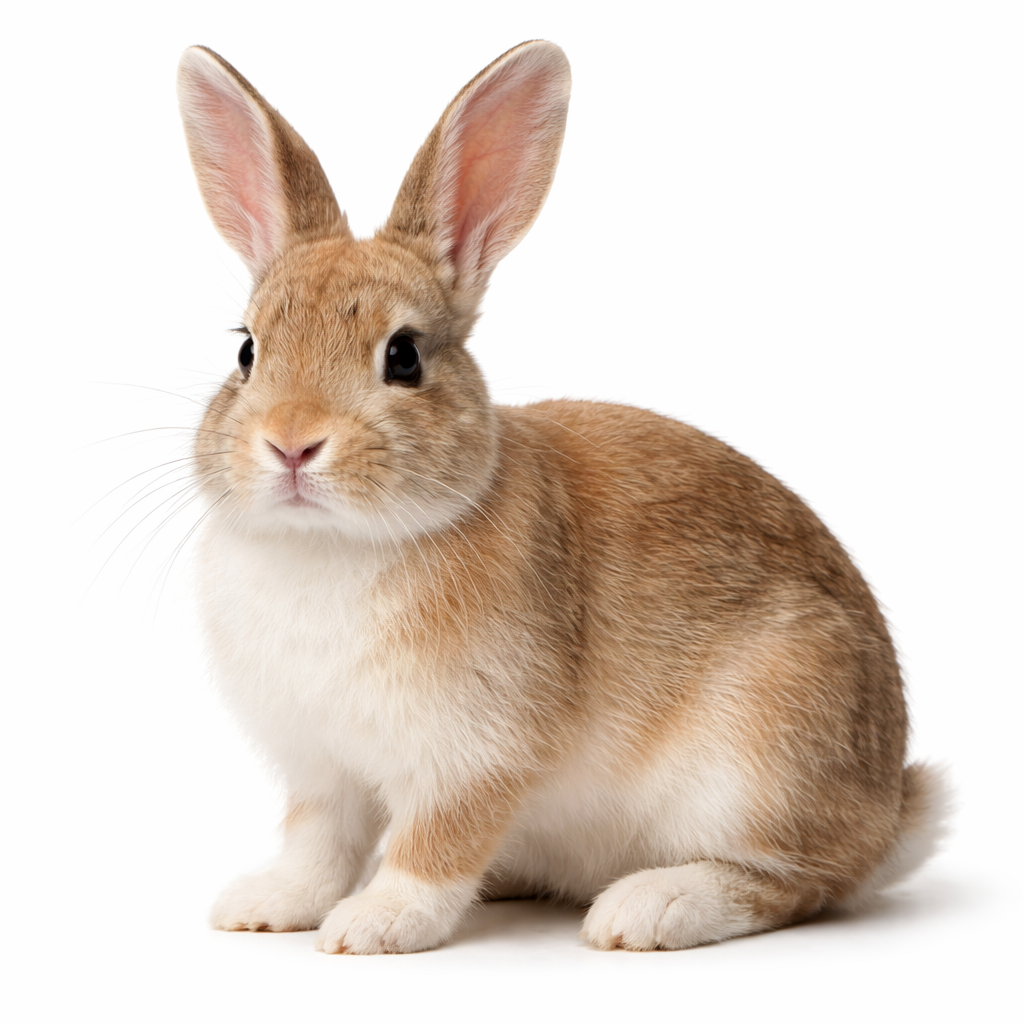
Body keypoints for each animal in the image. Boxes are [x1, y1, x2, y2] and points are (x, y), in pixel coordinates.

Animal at [176, 40, 946, 954]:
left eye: (404, 356)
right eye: (248, 351)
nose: (292, 443)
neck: (334, 544)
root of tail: (889, 810)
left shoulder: (475, 752)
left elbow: (434, 846)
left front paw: (374, 924)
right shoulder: (322, 768)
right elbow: (317, 842)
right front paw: (265, 907)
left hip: (765, 752)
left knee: (797, 882)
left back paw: (650, 907)